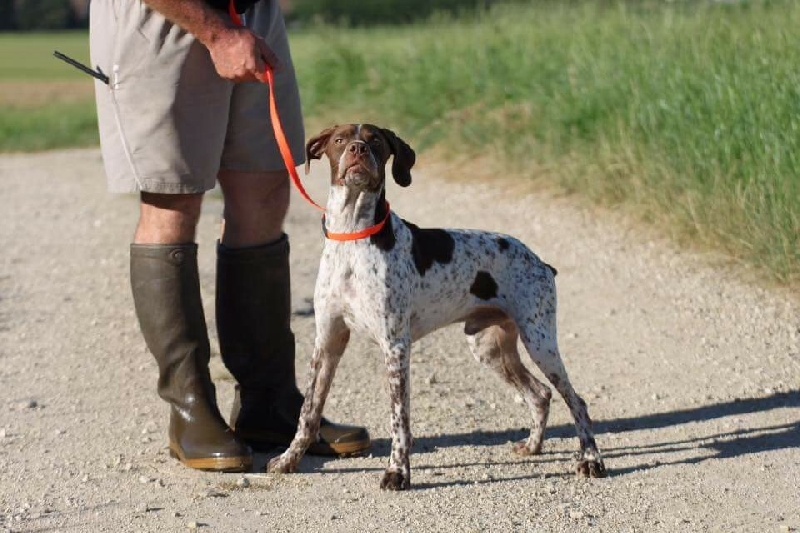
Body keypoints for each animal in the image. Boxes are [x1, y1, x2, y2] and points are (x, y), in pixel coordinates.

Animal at [268, 122, 608, 488]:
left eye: (376, 141)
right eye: (339, 140)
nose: (358, 149)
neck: (352, 236)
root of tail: (541, 263)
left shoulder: (395, 346)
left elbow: (399, 421)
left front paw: (397, 472)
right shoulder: (328, 341)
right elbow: (308, 413)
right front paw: (289, 459)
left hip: (540, 340)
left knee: (576, 401)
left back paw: (591, 460)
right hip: (491, 348)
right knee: (540, 394)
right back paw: (532, 446)